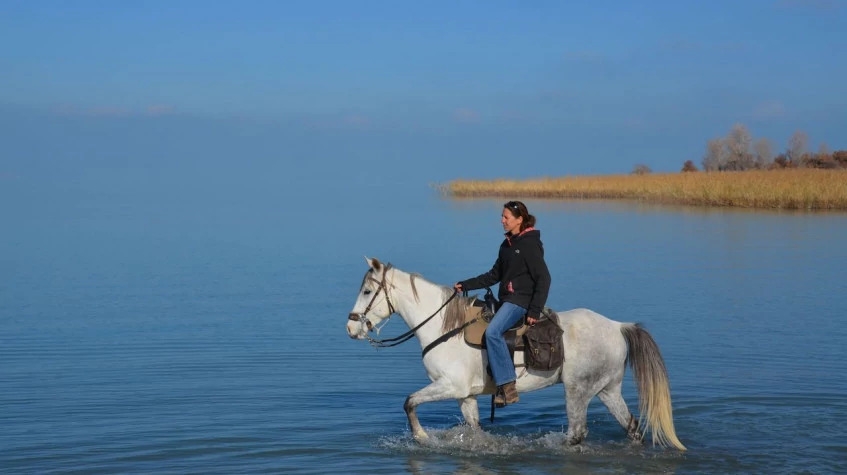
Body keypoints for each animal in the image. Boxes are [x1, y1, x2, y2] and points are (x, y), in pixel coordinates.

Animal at [345, 257, 686, 451]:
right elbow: (474, 430)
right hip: (607, 389)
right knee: (632, 427)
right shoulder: (465, 395)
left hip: (578, 390)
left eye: (367, 291)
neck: (444, 326)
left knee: (577, 433)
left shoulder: (448, 386)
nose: (351, 328)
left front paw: (422, 438)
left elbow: (409, 402)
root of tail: (617, 327)